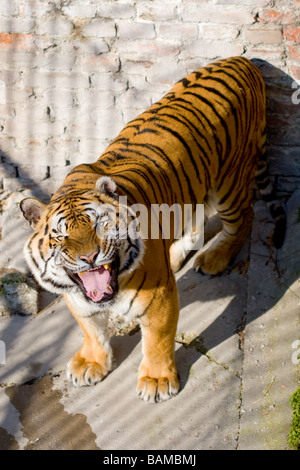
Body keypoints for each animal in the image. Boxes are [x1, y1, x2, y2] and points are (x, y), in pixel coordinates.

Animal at [19, 57, 284, 404]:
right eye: (61, 236)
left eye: (101, 224)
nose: (89, 258)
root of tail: (244, 60)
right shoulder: (77, 298)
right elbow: (91, 330)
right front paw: (91, 362)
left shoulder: (159, 298)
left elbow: (157, 339)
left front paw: (157, 381)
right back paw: (176, 255)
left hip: (229, 182)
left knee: (245, 216)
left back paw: (215, 258)